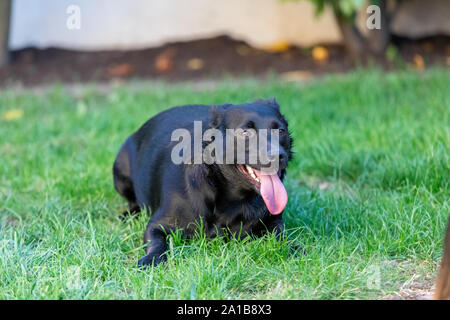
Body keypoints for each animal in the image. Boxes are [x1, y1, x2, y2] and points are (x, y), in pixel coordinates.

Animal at [113, 98, 292, 268]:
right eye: (246, 133)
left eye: (281, 131)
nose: (278, 156)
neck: (235, 200)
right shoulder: (157, 225)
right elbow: (157, 243)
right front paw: (151, 260)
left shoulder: (273, 221)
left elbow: (280, 236)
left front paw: (291, 248)